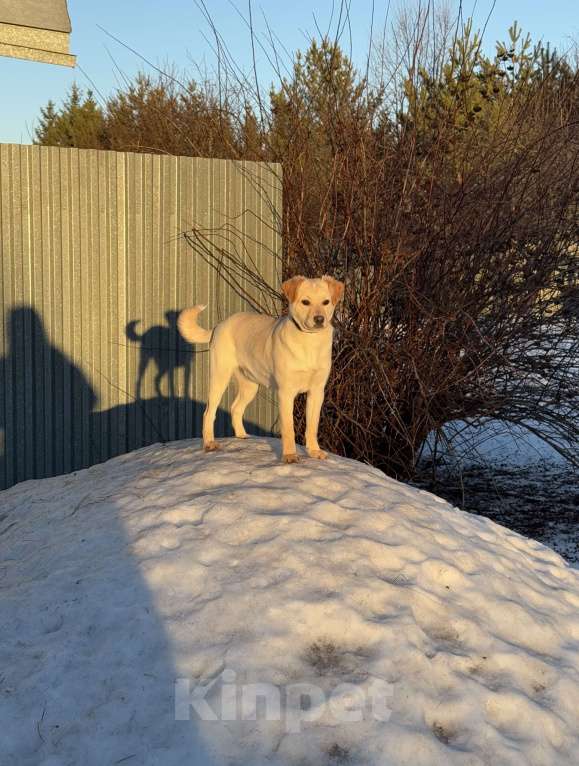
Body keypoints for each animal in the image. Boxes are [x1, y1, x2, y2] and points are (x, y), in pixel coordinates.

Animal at [178, 280, 344, 464]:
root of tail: (219, 325)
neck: (309, 341)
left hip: (250, 386)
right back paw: (209, 443)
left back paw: (242, 436)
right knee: (208, 412)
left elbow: (312, 426)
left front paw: (314, 451)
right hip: (220, 378)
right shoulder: (286, 393)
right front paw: (289, 455)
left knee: (235, 408)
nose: (319, 319)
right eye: (305, 302)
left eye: (326, 302)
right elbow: (289, 428)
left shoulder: (316, 392)